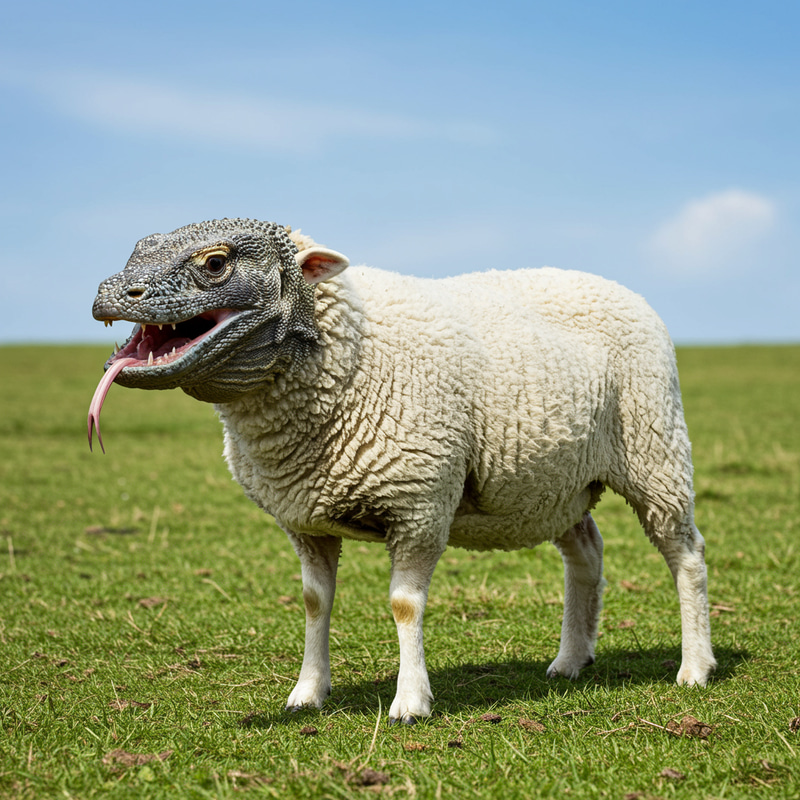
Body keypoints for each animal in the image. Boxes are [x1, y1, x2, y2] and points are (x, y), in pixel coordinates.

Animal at [89, 218, 716, 724]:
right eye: (138, 247)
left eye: (215, 263)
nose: (109, 293)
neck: (348, 352)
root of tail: (616, 286)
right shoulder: (305, 518)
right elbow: (314, 601)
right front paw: (306, 694)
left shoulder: (419, 502)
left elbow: (404, 605)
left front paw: (410, 702)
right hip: (555, 481)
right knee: (585, 553)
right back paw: (570, 659)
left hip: (653, 446)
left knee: (685, 554)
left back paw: (695, 666)